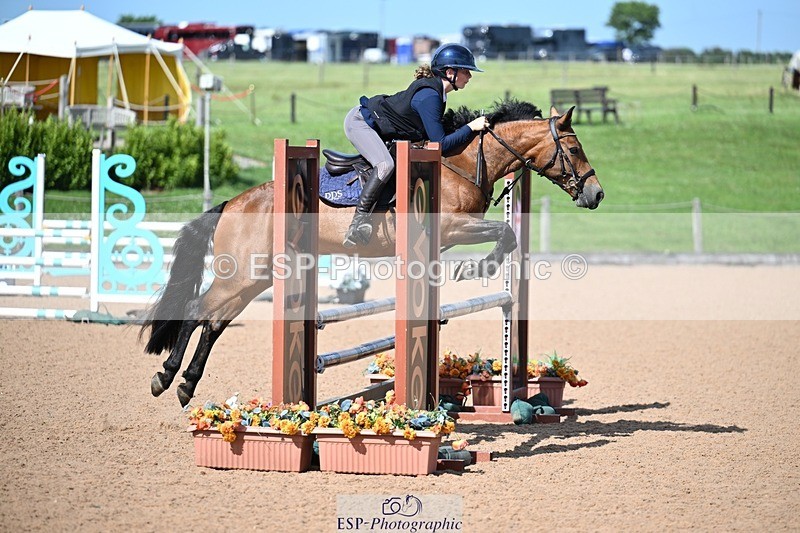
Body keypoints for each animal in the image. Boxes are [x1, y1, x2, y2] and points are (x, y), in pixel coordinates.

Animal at [140, 99, 604, 407]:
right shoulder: (452, 227)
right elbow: (506, 231)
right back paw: (166, 378)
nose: (597, 195)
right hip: (242, 273)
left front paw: (476, 268)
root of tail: (232, 203)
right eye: (574, 150)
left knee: (214, 320)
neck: (464, 162)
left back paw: (186, 384)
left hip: (255, 276)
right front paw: (479, 267)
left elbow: (505, 234)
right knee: (198, 310)